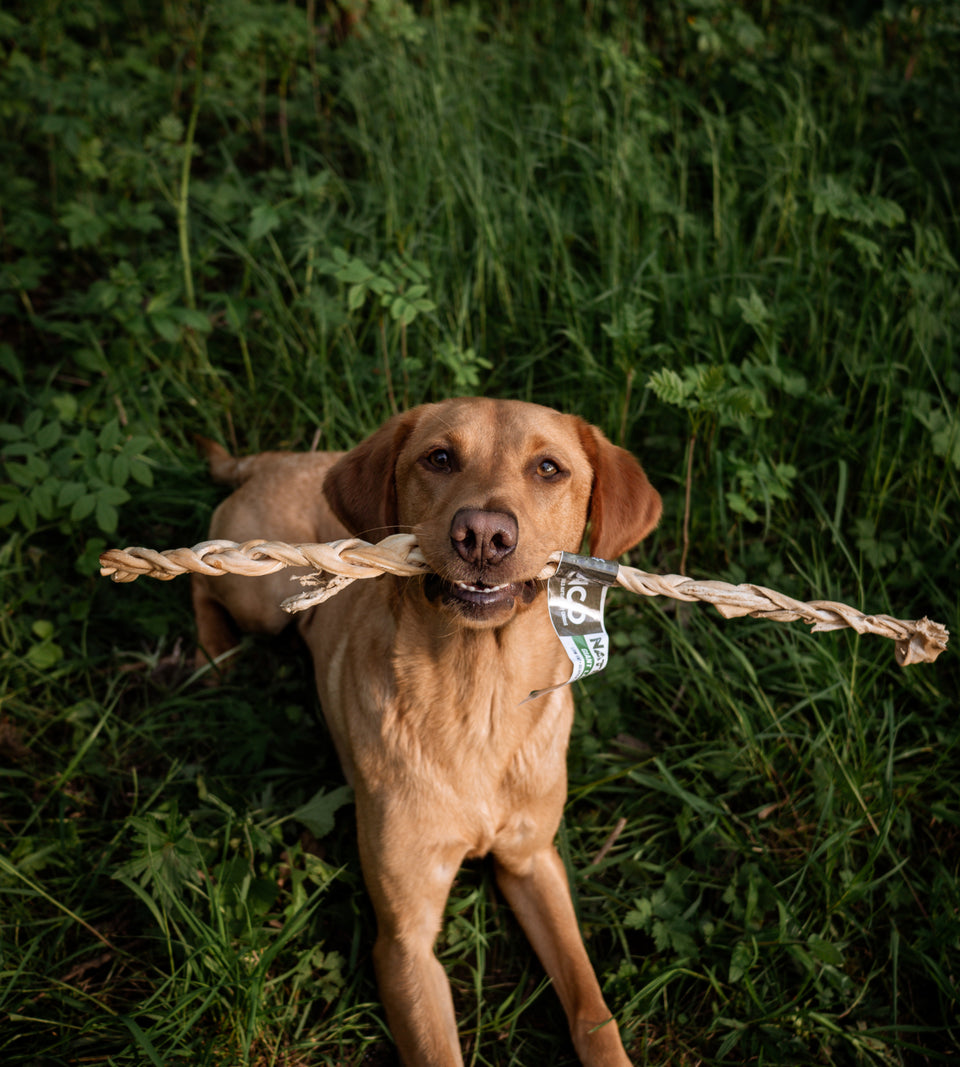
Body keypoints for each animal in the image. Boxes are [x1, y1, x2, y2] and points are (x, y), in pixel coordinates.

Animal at [194, 396, 661, 1062]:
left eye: (548, 468)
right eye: (439, 458)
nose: (484, 535)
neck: (479, 700)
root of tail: (279, 458)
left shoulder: (532, 861)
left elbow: (591, 1005)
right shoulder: (403, 942)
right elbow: (439, 1048)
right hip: (259, 598)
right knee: (201, 577)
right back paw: (213, 654)